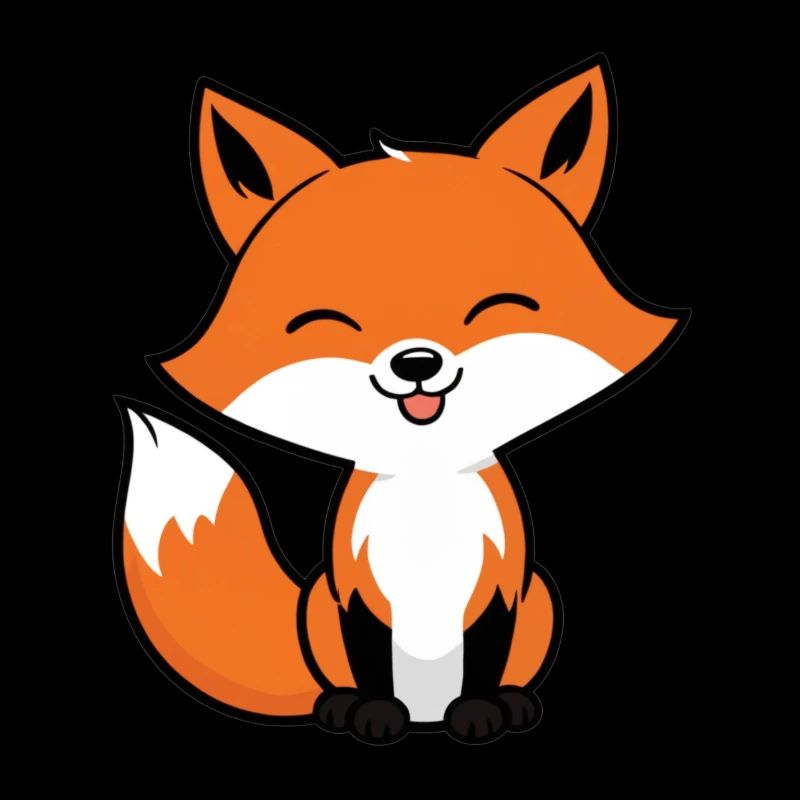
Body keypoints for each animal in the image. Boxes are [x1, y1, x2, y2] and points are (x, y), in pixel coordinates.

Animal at [116, 56, 687, 744]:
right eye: (330, 322)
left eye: (494, 308)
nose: (417, 363)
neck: (425, 485)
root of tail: (426, 718)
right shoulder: (356, 590)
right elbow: (369, 656)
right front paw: (372, 713)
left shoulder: (501, 585)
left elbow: (486, 653)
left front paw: (482, 711)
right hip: (319, 603)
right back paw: (343, 707)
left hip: (542, 598)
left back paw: (506, 704)